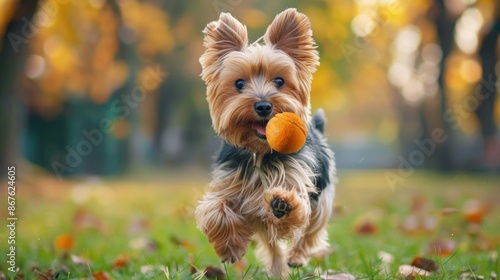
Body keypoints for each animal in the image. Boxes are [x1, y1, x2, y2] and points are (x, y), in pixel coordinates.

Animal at [194, 7, 336, 276]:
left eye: (279, 81)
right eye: (239, 83)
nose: (262, 105)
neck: (259, 151)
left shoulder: (296, 177)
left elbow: (296, 210)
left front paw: (283, 205)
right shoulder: (228, 183)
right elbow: (215, 209)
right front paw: (230, 248)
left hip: (323, 196)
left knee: (312, 230)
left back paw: (296, 257)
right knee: (273, 247)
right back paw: (278, 269)